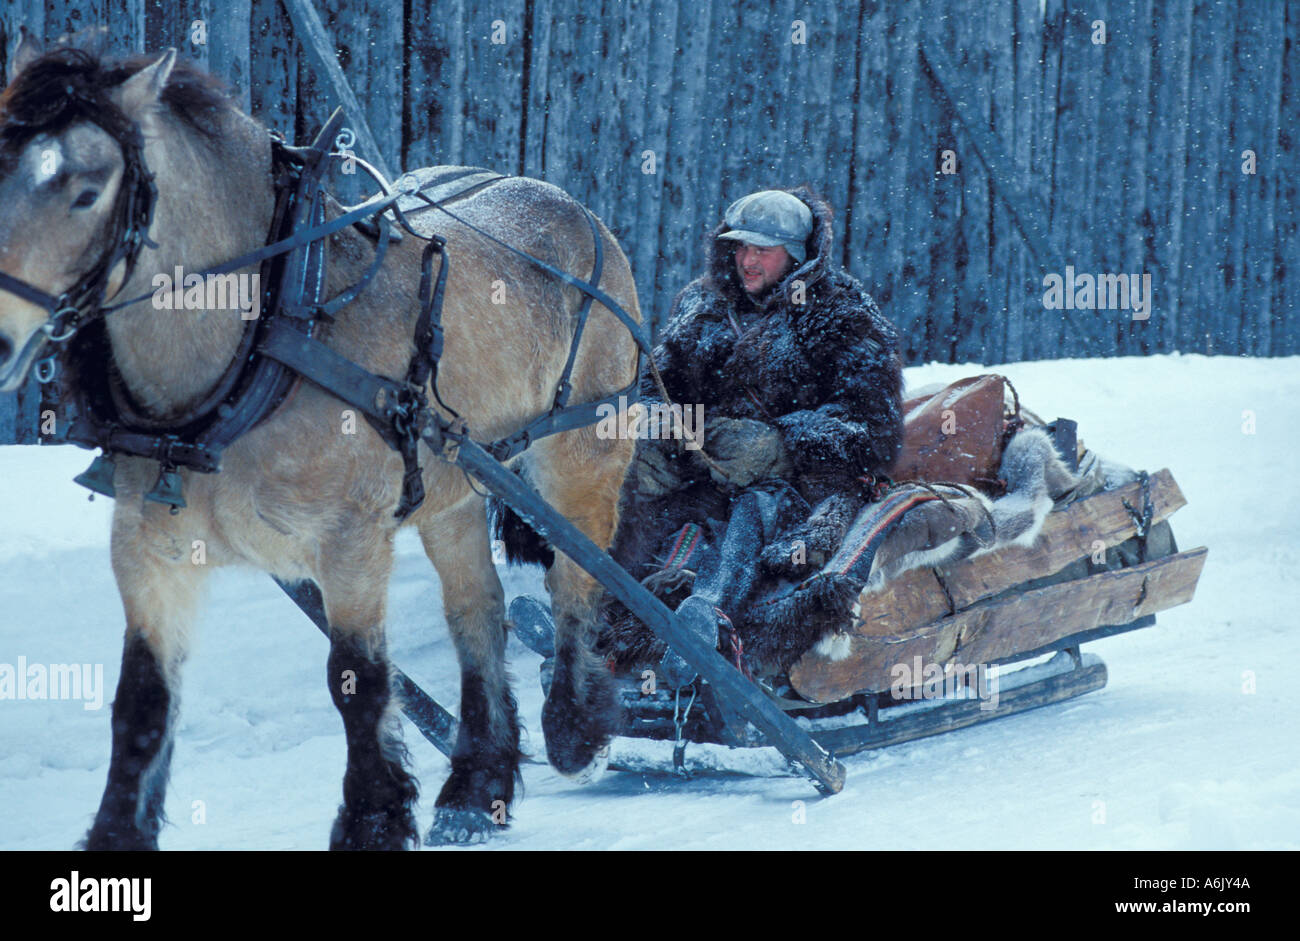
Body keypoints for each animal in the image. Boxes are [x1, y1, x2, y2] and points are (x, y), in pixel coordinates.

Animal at [0, 42, 634, 852]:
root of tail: (576, 210)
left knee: (578, 579)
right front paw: (115, 836)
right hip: (453, 488)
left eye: (84, 191)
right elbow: (141, 700)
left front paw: (372, 817)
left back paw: (577, 724)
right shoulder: (150, 549)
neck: (264, 333)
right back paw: (475, 784)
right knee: (478, 609)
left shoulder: (350, 541)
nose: (0, 338)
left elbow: (355, 680)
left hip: (580, 457)